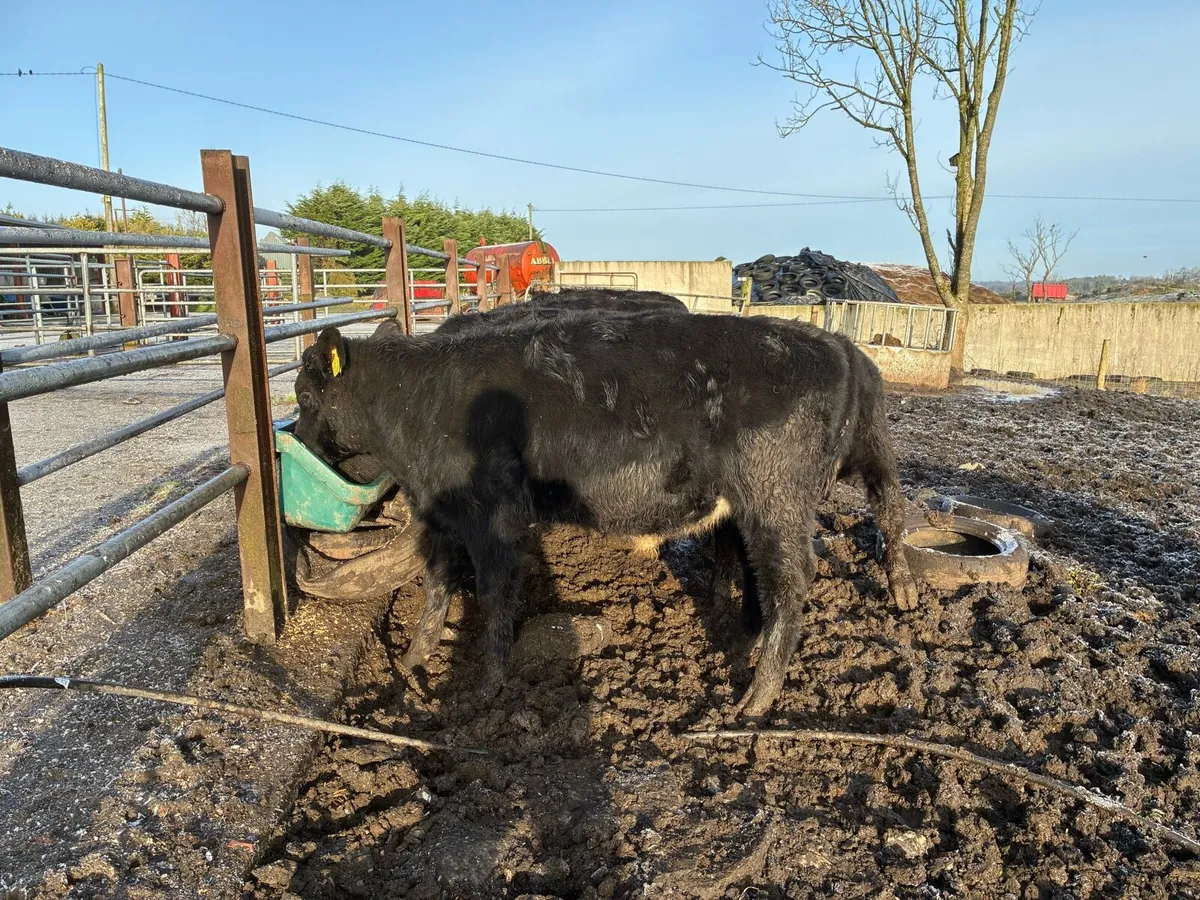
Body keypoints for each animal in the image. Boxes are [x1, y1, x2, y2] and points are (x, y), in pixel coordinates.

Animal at [294, 310, 918, 716]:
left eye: (303, 396)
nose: (297, 440)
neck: (415, 407)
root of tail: (835, 344)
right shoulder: (440, 514)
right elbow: (437, 586)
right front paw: (412, 661)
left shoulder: (494, 516)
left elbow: (494, 597)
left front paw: (485, 690)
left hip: (777, 495)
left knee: (797, 575)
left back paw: (754, 701)